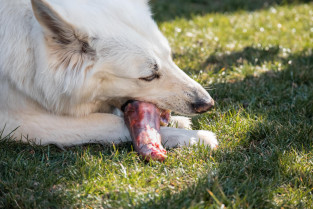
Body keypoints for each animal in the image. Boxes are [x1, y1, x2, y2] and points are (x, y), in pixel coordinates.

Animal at [0, 0, 217, 150]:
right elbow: (112, 122)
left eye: (170, 57)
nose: (207, 104)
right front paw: (193, 137)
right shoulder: (19, 121)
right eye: (149, 76)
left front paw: (178, 122)